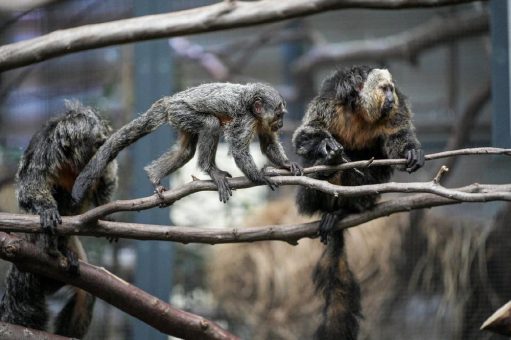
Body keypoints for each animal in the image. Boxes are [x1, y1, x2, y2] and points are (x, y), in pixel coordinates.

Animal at [0, 101, 118, 338]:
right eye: (95, 142)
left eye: (102, 139)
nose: (103, 142)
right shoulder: (44, 151)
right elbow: (30, 186)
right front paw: (47, 210)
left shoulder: (101, 166)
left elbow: (107, 178)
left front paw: (107, 213)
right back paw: (53, 247)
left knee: (85, 296)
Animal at [72, 82, 304, 205]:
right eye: (279, 115)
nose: (281, 124)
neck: (252, 110)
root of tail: (170, 100)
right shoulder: (246, 120)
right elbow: (238, 150)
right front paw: (262, 177)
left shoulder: (261, 123)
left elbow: (267, 144)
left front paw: (286, 165)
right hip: (182, 111)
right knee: (210, 124)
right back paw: (211, 171)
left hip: (179, 118)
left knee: (186, 151)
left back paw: (154, 176)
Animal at [294, 65, 426, 338]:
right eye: (384, 89)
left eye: (391, 89)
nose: (390, 97)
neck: (360, 113)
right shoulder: (329, 103)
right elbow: (305, 135)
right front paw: (326, 146)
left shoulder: (396, 112)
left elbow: (397, 138)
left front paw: (410, 150)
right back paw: (327, 179)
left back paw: (345, 209)